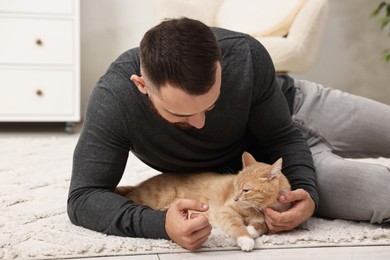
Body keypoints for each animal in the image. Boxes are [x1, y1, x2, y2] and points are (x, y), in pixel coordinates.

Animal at [117, 152, 290, 252]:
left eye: (246, 190)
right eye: (235, 187)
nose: (235, 198)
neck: (256, 208)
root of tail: (137, 186)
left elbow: (263, 225)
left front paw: (252, 230)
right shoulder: (225, 211)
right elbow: (236, 225)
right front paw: (246, 238)